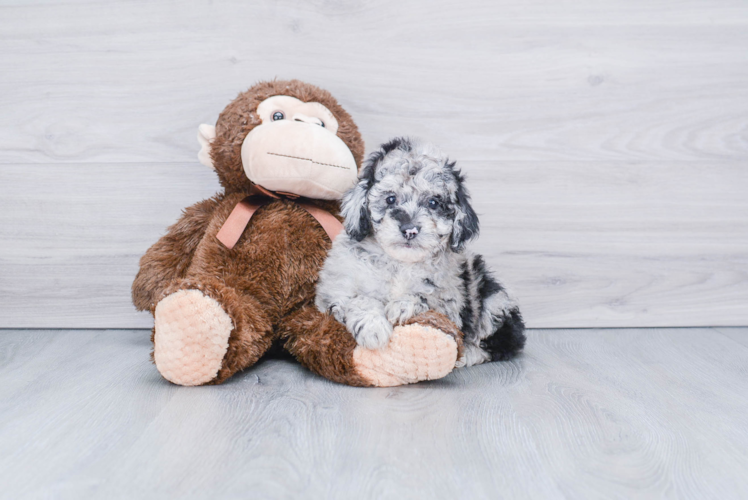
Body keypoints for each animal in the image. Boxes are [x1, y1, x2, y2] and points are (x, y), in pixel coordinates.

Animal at [316, 137, 524, 368]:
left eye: (433, 203)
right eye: (390, 199)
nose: (410, 229)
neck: (400, 264)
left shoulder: (451, 302)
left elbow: (427, 297)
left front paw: (401, 306)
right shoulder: (334, 292)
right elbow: (360, 299)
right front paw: (373, 328)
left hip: (493, 300)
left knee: (502, 343)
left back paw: (467, 355)